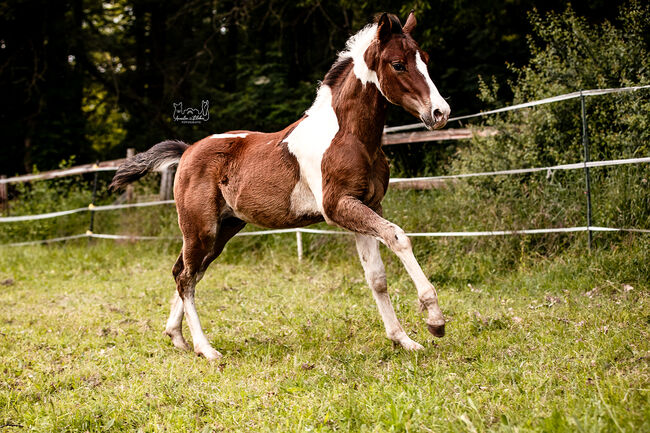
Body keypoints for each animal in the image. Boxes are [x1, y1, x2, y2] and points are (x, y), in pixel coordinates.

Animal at [109, 11, 448, 360]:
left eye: (425, 58)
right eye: (398, 64)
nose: (440, 112)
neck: (348, 136)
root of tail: (187, 150)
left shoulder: (366, 205)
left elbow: (376, 277)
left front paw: (403, 339)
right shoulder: (339, 207)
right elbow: (398, 237)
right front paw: (434, 321)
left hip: (223, 228)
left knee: (187, 271)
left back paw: (177, 337)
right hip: (200, 228)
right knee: (187, 277)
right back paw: (207, 349)